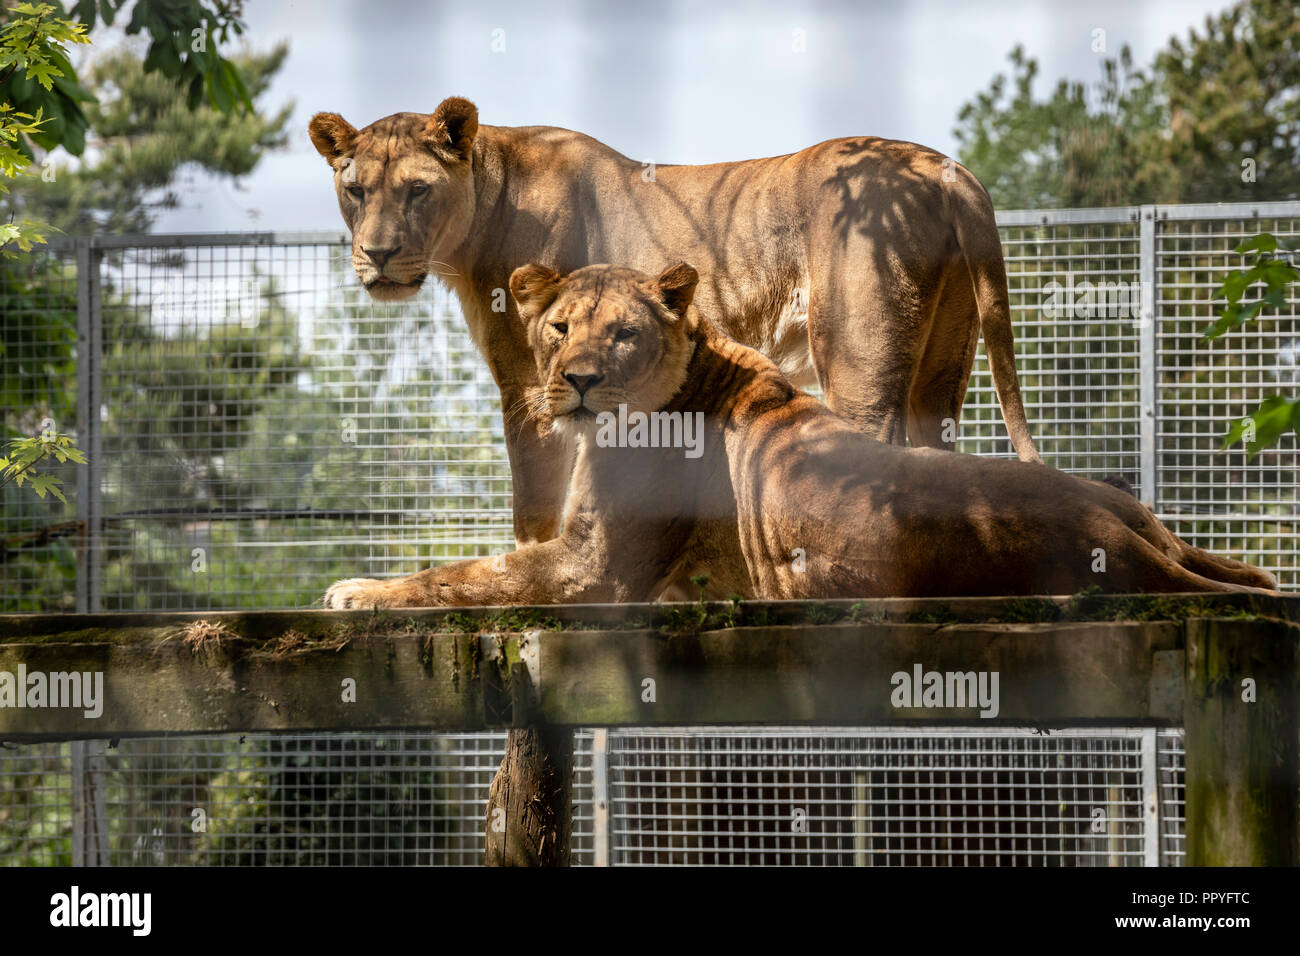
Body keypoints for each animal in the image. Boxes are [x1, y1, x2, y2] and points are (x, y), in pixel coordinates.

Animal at [308, 98, 1041, 549]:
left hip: (860, 361)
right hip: (941, 366)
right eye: (355, 189)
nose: (377, 254)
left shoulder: (533, 389)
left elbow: (537, 509)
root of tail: (944, 168)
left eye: (417, 189)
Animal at [322, 263, 1277, 609]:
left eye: (621, 334)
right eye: (559, 328)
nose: (581, 380)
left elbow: (464, 576)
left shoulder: (594, 571)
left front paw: (358, 591)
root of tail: (1125, 527)